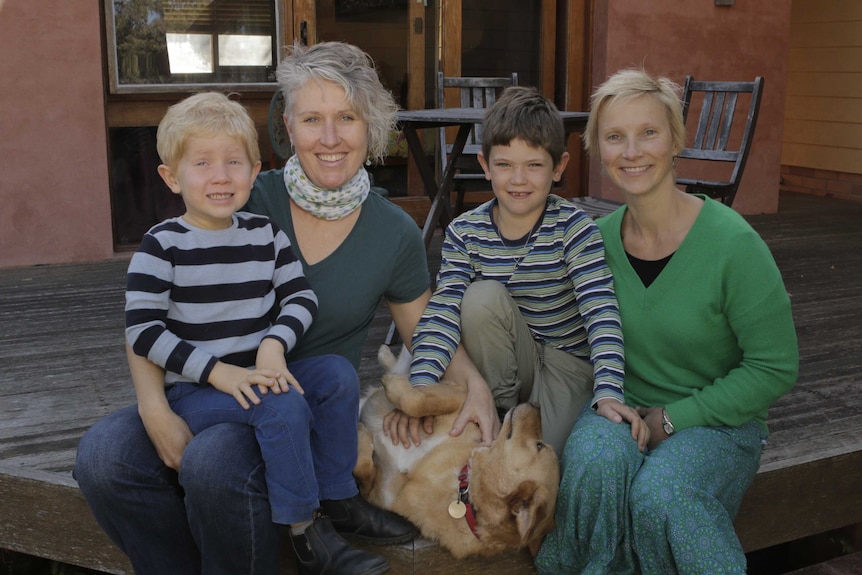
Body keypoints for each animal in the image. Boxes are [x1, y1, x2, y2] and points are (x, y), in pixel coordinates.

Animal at [354, 346, 564, 560]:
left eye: (539, 445)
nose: (536, 403)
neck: (461, 486)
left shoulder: (378, 493)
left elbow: (363, 472)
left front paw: (361, 432)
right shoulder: (462, 397)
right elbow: (419, 401)